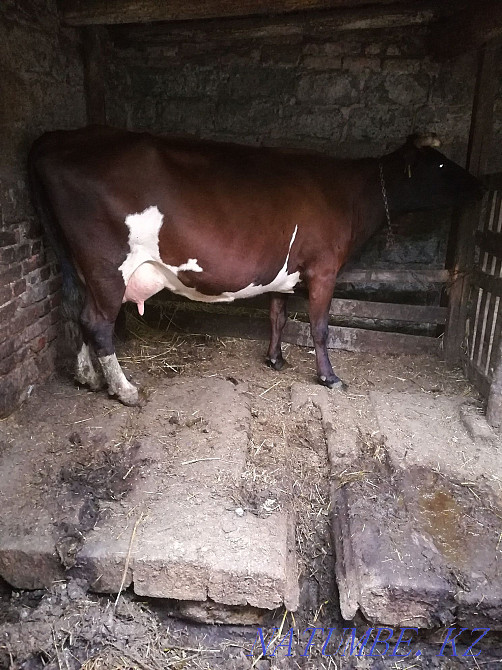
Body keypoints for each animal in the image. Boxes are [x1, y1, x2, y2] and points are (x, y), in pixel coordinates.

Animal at [28, 127, 483, 406]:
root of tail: (59, 139)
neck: (352, 196)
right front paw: (329, 377)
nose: (481, 184)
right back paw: (124, 390)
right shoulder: (324, 269)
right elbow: (320, 328)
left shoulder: (285, 271)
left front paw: (275, 359)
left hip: (82, 266)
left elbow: (277, 315)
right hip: (108, 264)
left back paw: (87, 377)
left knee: (81, 315)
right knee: (99, 322)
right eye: (441, 164)